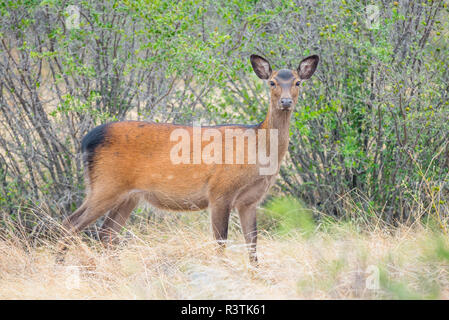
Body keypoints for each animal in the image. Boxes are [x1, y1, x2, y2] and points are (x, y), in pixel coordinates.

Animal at [59, 54, 318, 264]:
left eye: (298, 82)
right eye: (272, 82)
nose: (286, 101)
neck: (256, 150)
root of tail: (87, 140)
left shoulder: (249, 201)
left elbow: (253, 247)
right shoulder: (219, 191)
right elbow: (220, 244)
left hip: (129, 195)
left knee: (107, 233)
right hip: (106, 184)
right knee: (70, 224)